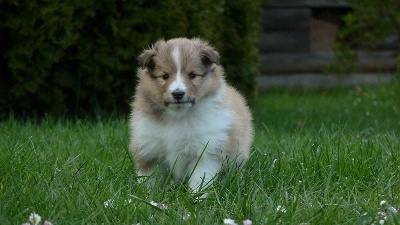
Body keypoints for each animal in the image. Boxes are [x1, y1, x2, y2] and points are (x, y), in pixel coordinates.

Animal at [129, 37, 253, 196]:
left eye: (192, 75)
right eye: (165, 76)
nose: (178, 94)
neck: (178, 116)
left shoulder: (206, 152)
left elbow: (200, 180)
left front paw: (196, 198)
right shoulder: (149, 150)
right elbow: (149, 180)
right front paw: (144, 196)